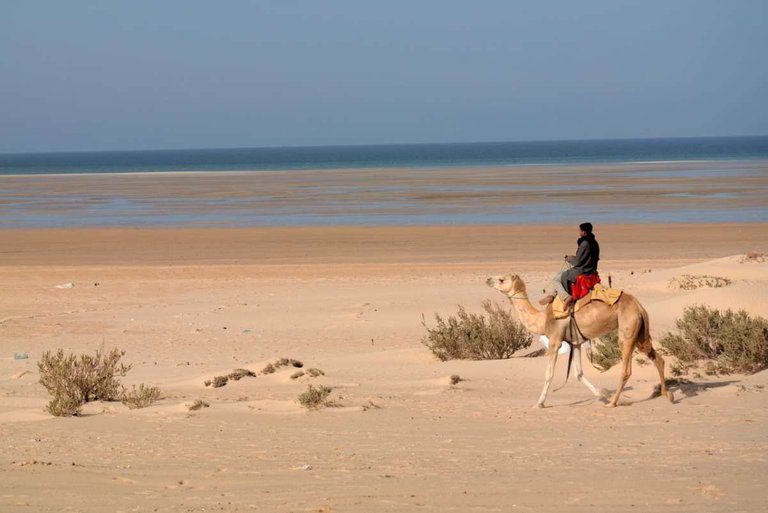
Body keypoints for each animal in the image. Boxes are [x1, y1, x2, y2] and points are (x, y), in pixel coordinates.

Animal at [486, 272, 672, 408]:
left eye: (501, 279)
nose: (488, 279)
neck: (542, 319)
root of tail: (639, 307)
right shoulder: (575, 343)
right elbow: (579, 374)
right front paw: (602, 394)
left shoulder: (555, 341)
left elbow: (549, 374)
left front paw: (539, 403)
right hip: (640, 333)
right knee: (657, 358)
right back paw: (667, 395)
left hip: (627, 330)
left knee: (626, 369)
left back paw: (613, 403)